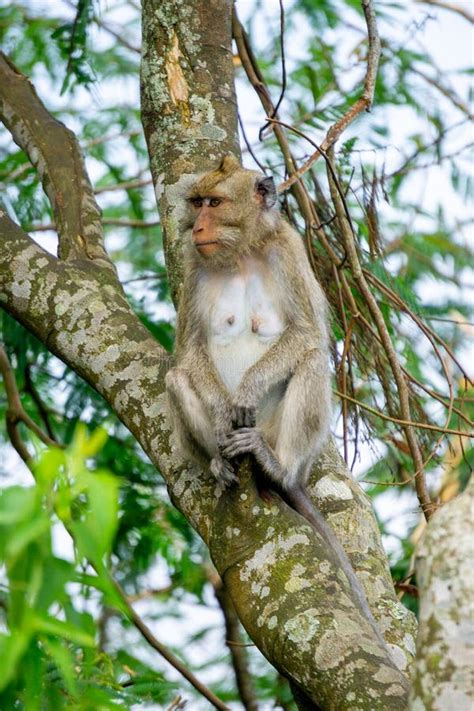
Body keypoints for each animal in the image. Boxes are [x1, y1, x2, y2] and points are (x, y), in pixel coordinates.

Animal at [167, 154, 392, 652]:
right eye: (197, 202)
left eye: (215, 203)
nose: (197, 226)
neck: (241, 253)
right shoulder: (193, 265)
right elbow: (188, 352)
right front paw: (220, 412)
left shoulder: (288, 251)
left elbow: (306, 334)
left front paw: (247, 390)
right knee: (174, 378)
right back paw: (218, 459)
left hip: (279, 435)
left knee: (311, 360)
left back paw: (276, 467)